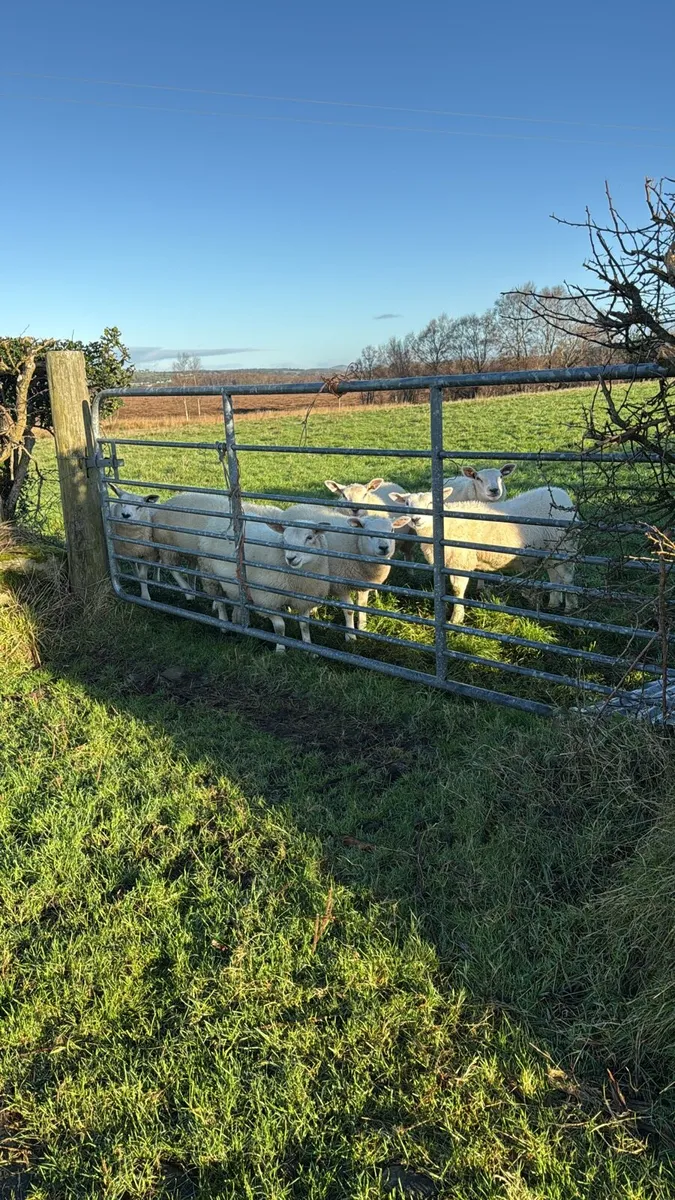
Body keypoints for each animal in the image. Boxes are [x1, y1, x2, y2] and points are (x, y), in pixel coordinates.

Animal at [196, 507, 330, 653]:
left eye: (309, 537)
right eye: (284, 538)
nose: (291, 558)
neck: (295, 581)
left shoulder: (305, 600)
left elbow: (304, 625)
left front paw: (308, 648)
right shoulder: (266, 601)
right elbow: (280, 627)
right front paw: (280, 649)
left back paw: (237, 620)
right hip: (210, 575)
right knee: (220, 601)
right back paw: (224, 626)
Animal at [283, 503, 396, 641]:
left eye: (392, 530)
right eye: (368, 533)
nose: (384, 547)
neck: (356, 544)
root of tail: (296, 506)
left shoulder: (364, 584)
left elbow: (362, 605)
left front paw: (363, 628)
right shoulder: (339, 585)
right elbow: (349, 610)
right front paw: (350, 636)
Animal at [391, 485, 578, 624]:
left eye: (431, 502)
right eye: (406, 503)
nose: (415, 519)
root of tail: (562, 495)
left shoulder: (461, 561)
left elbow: (457, 590)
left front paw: (456, 618)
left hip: (565, 547)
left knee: (568, 578)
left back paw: (570, 609)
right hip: (551, 552)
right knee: (554, 576)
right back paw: (553, 604)